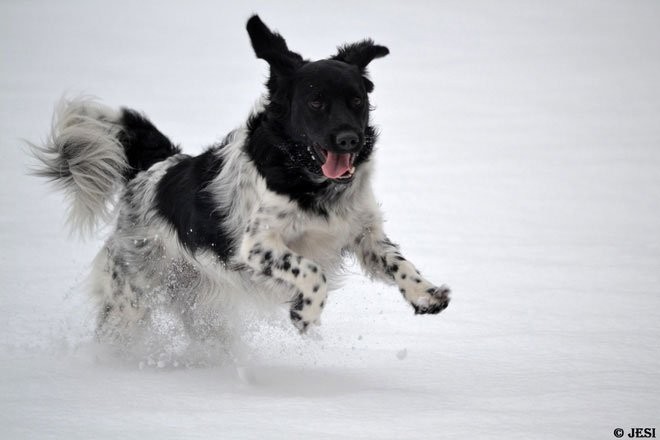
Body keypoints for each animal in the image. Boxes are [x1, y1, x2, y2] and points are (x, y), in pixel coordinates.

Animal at [29, 14, 448, 344]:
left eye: (357, 100)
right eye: (316, 102)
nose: (349, 139)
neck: (307, 180)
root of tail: (154, 169)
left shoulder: (362, 232)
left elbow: (398, 262)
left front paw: (426, 294)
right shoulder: (258, 245)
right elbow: (312, 271)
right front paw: (306, 313)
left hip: (198, 305)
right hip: (132, 297)